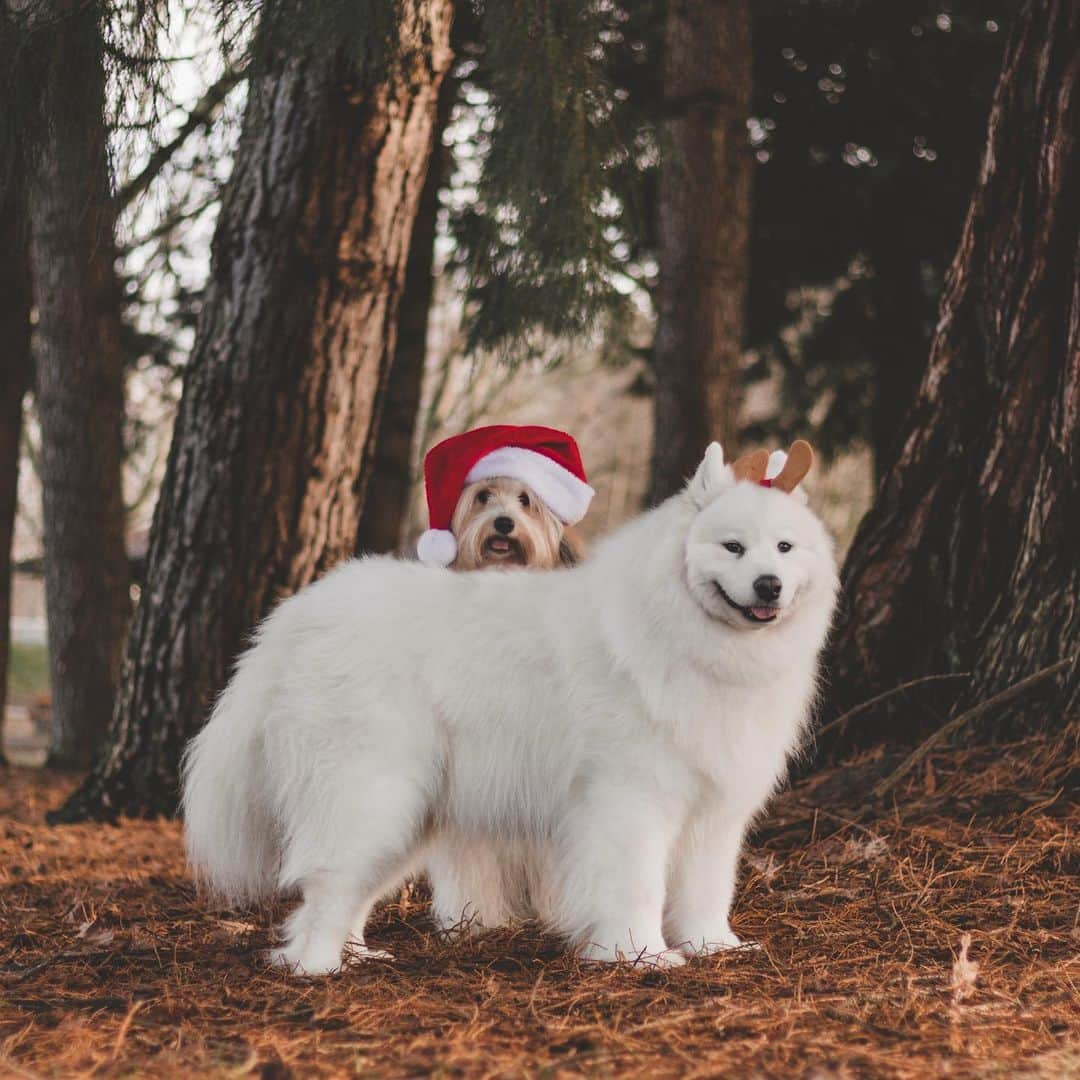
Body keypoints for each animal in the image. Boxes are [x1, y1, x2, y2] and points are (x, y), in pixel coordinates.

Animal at [183, 438, 833, 972]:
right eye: (733, 547)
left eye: (784, 547)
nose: (770, 584)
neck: (686, 634)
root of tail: (298, 617)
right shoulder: (631, 801)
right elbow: (638, 886)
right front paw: (640, 955)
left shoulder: (714, 812)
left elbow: (707, 889)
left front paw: (712, 946)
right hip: (371, 792)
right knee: (325, 884)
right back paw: (319, 966)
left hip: (408, 812)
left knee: (351, 888)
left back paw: (357, 953)